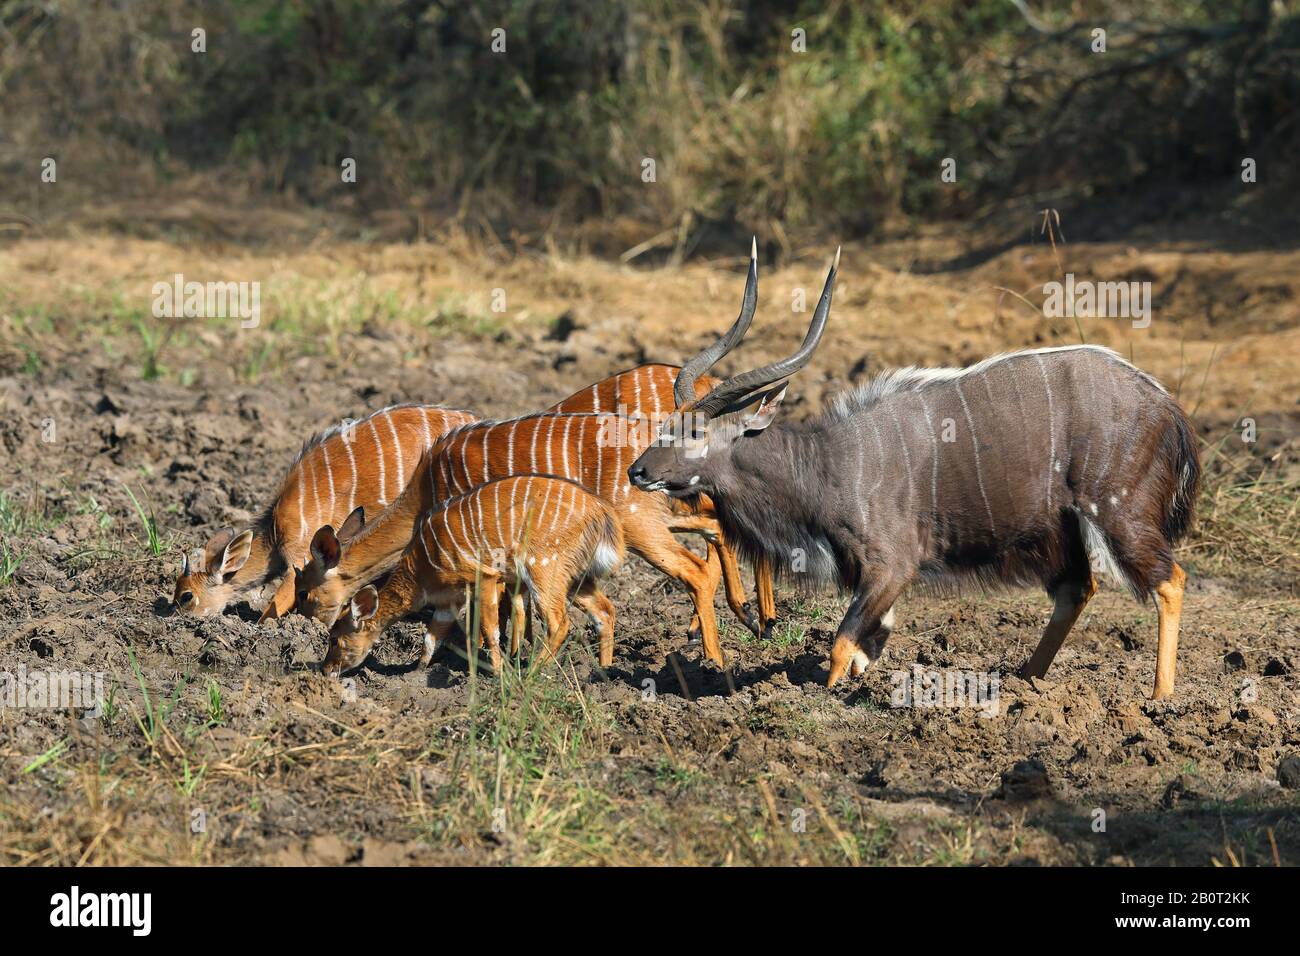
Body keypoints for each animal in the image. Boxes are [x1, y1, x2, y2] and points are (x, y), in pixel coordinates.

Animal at [629, 243, 1196, 697]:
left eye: (696, 432)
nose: (636, 472)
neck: (827, 464)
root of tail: (1166, 406)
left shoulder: (892, 564)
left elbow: (841, 645)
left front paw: (826, 699)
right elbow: (865, 645)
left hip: (1119, 511)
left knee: (1170, 580)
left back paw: (1161, 698)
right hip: (1063, 527)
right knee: (1077, 588)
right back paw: (1026, 681)